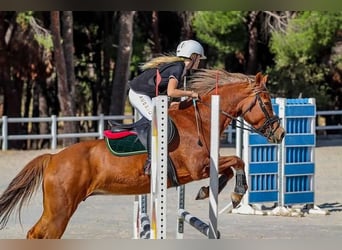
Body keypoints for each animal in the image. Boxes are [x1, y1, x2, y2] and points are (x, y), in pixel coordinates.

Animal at [0, 69, 284, 237]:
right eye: (266, 102)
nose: (280, 134)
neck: (201, 119)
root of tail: (53, 158)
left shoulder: (201, 168)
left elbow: (231, 166)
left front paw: (209, 192)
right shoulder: (197, 167)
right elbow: (237, 160)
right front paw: (235, 194)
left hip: (58, 208)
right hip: (60, 210)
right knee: (40, 234)